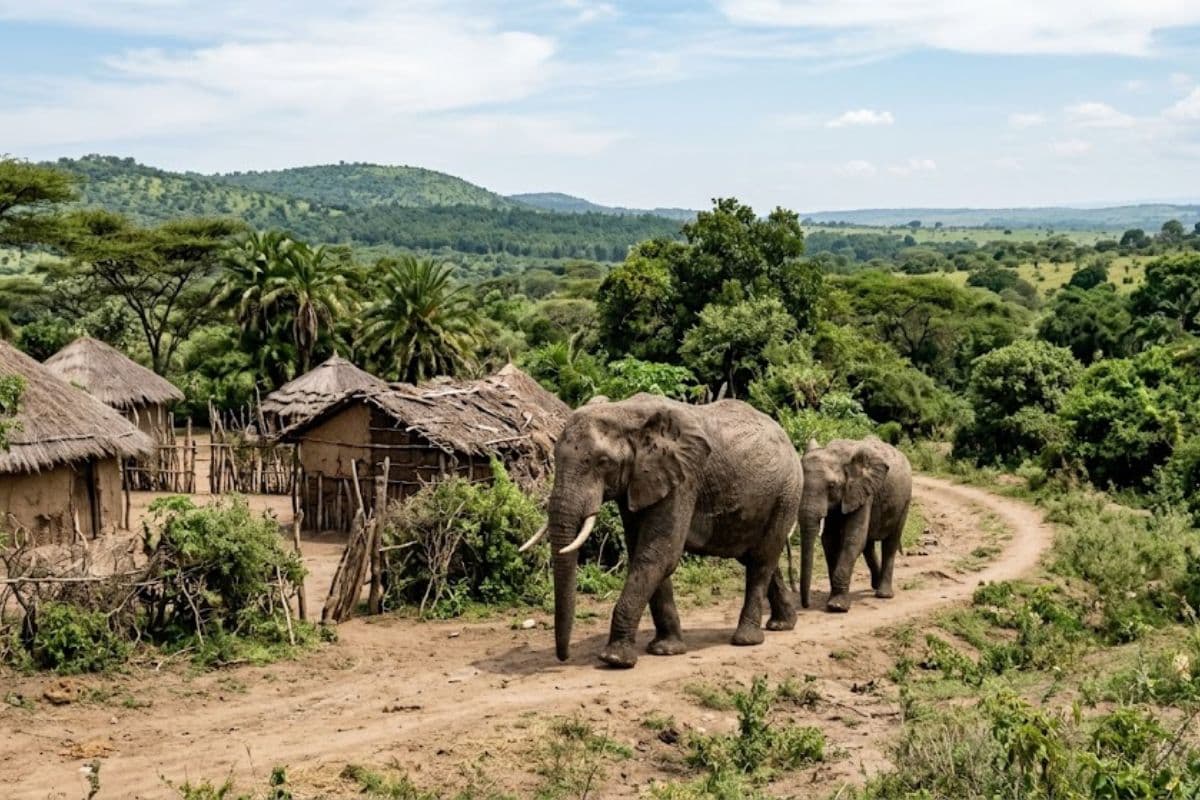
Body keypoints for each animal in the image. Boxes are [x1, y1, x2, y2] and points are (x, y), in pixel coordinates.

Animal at [519, 393, 804, 668]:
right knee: (757, 557)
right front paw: (666, 650)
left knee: (761, 561)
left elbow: (658, 554)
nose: (563, 658)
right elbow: (644, 553)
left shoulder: (684, 479)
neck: (625, 413)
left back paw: (747, 639)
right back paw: (783, 625)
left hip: (787, 492)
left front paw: (615, 659)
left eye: (603, 462)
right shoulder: (638, 482)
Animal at [797, 437, 912, 613]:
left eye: (831, 486)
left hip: (905, 500)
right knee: (868, 546)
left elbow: (853, 539)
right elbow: (830, 540)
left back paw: (883, 594)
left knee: (890, 543)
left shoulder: (862, 491)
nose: (806, 605)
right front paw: (833, 599)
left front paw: (837, 606)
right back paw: (875, 585)